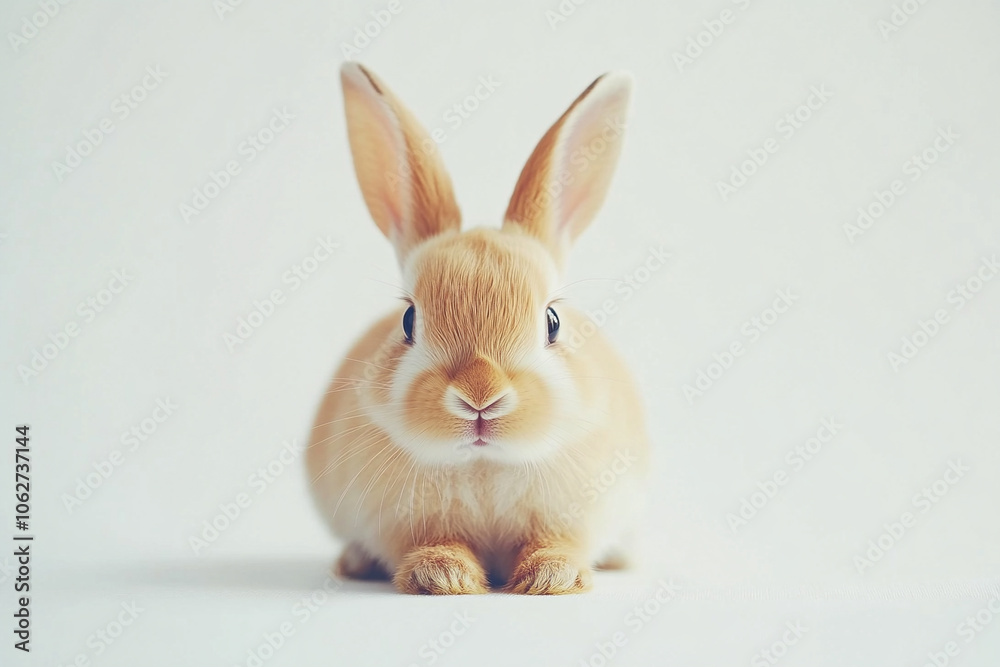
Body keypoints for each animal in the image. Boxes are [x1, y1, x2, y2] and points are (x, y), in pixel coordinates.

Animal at [306, 62, 650, 595]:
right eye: (408, 320)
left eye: (552, 322)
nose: (480, 395)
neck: (483, 462)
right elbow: (434, 543)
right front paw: (442, 575)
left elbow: (555, 542)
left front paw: (552, 577)